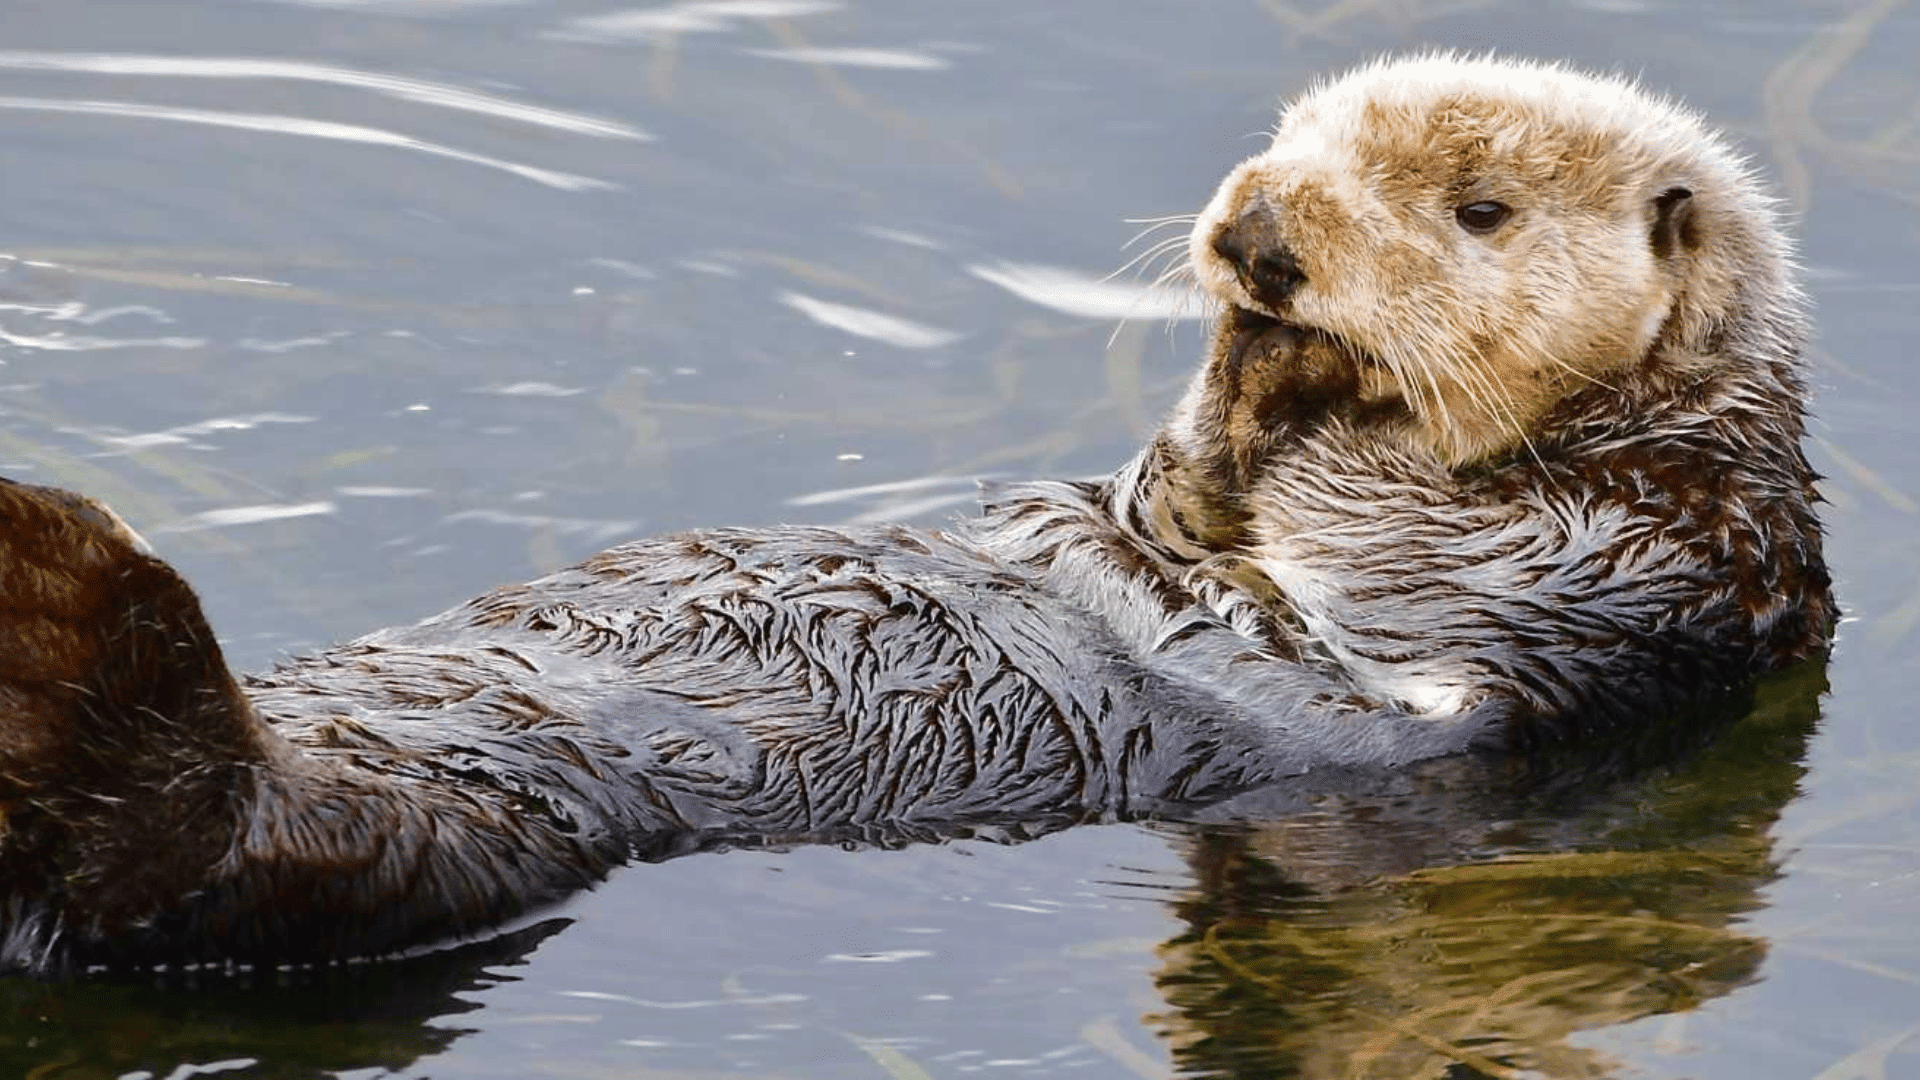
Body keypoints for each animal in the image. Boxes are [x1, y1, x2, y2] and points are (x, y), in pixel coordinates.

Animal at [0, 55, 1830, 975]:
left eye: (1480, 208)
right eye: (1290, 137)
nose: (1259, 233)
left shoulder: (1642, 559)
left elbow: (1390, 549)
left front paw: (1292, 378)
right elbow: (1176, 504)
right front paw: (1234, 370)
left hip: (425, 851)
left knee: (192, 857)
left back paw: (63, 586)